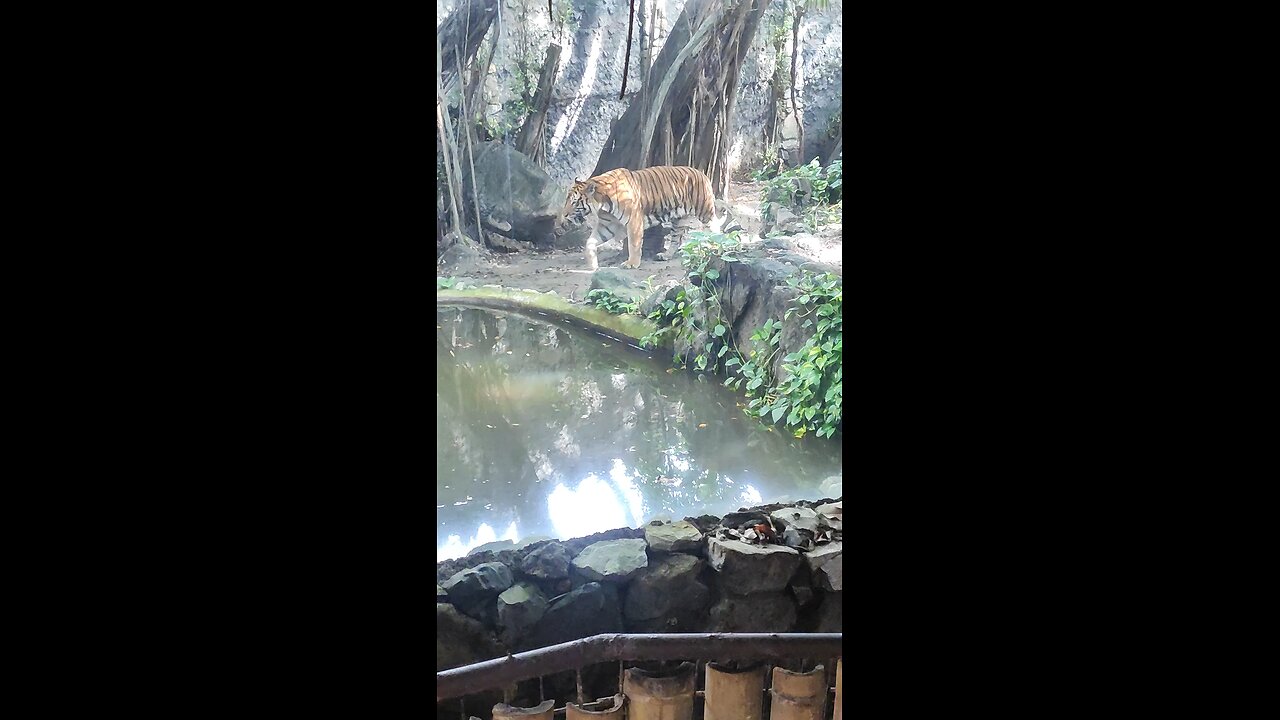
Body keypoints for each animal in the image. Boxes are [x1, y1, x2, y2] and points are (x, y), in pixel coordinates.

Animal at [555, 165, 725, 271]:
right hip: (677, 220)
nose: (564, 215)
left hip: (704, 211)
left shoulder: (633, 221)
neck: (602, 203)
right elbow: (590, 242)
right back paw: (665, 255)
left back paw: (718, 246)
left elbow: (634, 244)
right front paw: (592, 264)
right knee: (677, 238)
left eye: (574, 202)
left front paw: (632, 264)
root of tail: (702, 173)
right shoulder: (607, 226)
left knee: (716, 228)